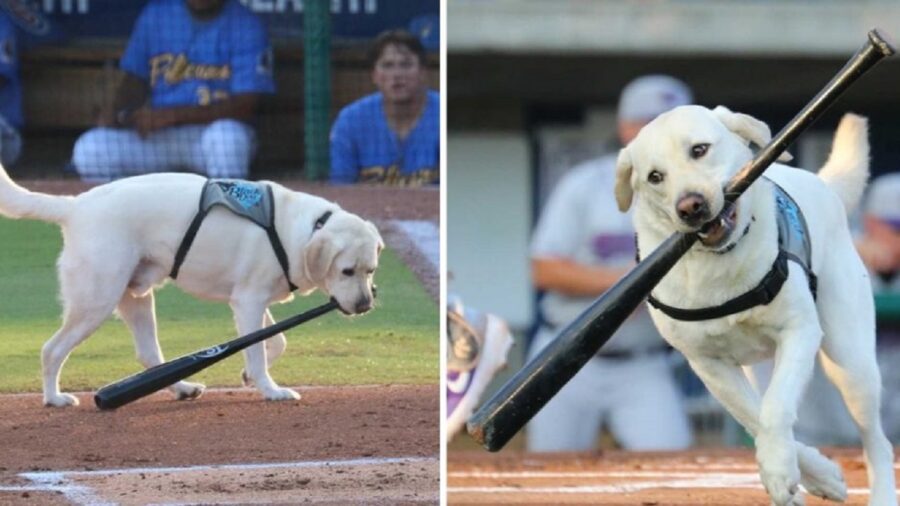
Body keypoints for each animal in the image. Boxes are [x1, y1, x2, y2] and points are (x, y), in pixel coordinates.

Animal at [0, 170, 384, 408]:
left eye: (371, 271)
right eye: (347, 271)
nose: (365, 305)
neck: (306, 228)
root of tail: (75, 204)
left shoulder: (250, 302)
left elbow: (274, 342)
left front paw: (249, 374)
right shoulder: (247, 301)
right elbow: (258, 352)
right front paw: (270, 390)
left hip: (136, 297)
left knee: (149, 356)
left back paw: (182, 388)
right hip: (96, 301)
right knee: (51, 349)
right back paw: (54, 398)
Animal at [616, 105, 896, 504]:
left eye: (699, 150)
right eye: (655, 177)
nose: (690, 206)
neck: (718, 265)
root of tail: (822, 184)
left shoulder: (799, 331)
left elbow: (776, 408)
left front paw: (779, 468)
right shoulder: (707, 363)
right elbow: (754, 414)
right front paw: (817, 475)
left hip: (852, 363)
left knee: (876, 438)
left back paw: (883, 493)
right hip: (760, 367)